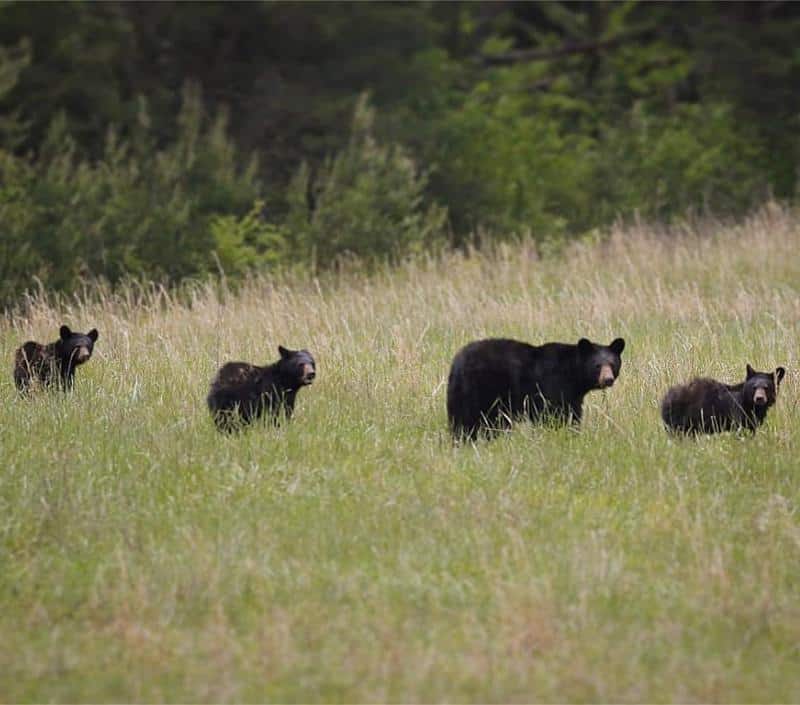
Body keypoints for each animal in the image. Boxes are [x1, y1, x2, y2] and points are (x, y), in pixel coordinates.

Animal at [444, 336, 624, 440]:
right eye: (597, 365)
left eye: (612, 364)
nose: (608, 380)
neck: (573, 374)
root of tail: (456, 363)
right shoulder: (553, 385)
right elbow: (554, 413)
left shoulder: (572, 396)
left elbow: (573, 413)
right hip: (481, 390)